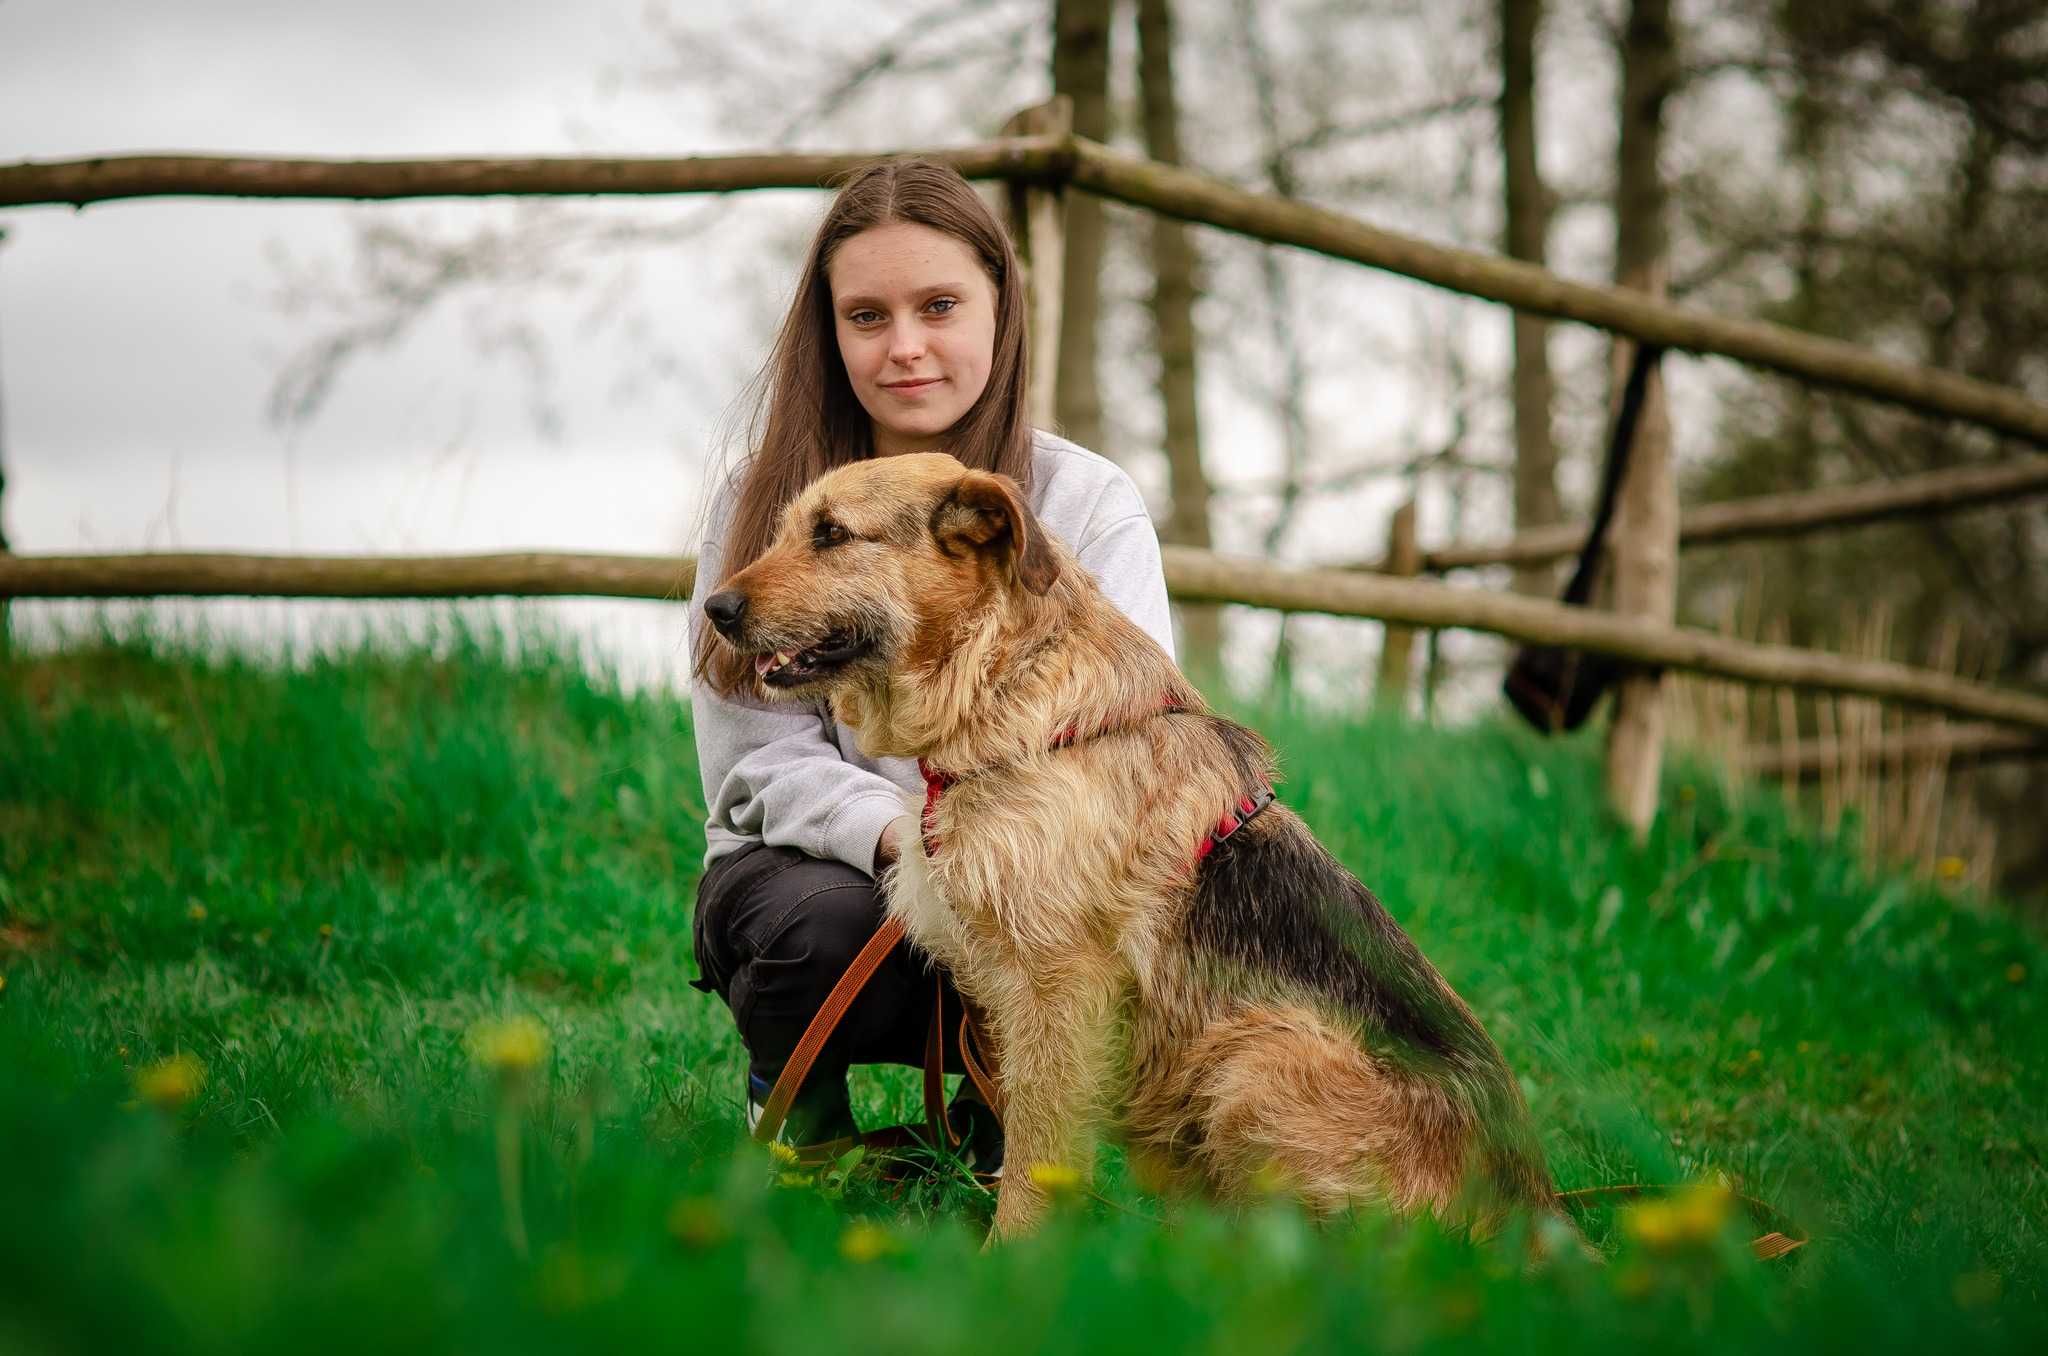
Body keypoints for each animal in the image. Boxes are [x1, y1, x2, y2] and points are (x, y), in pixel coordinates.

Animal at [704, 454, 1564, 1245]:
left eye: (832, 534)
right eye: (788, 529)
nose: (714, 608)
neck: (1007, 687)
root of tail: (1539, 1220)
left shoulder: (1059, 988)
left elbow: (1038, 1149)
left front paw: (1010, 1264)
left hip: (1255, 1055)